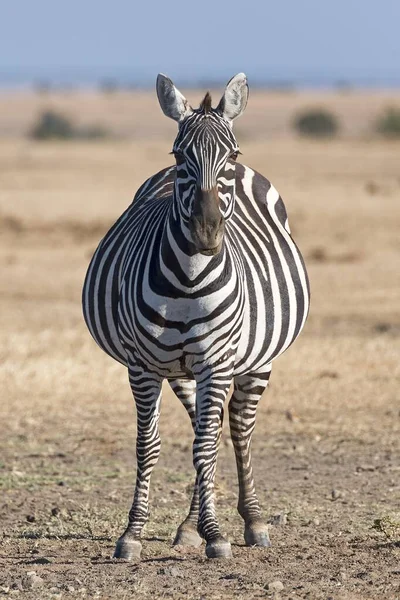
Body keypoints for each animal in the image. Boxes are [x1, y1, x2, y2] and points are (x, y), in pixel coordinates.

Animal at [83, 72, 310, 560]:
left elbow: (207, 445)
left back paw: (252, 522)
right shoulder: (142, 366)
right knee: (204, 430)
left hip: (254, 361)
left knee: (236, 428)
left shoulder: (216, 361)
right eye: (178, 154)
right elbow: (149, 445)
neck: (188, 280)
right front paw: (134, 533)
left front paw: (218, 534)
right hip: (182, 370)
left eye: (232, 154)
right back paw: (190, 526)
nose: (207, 233)